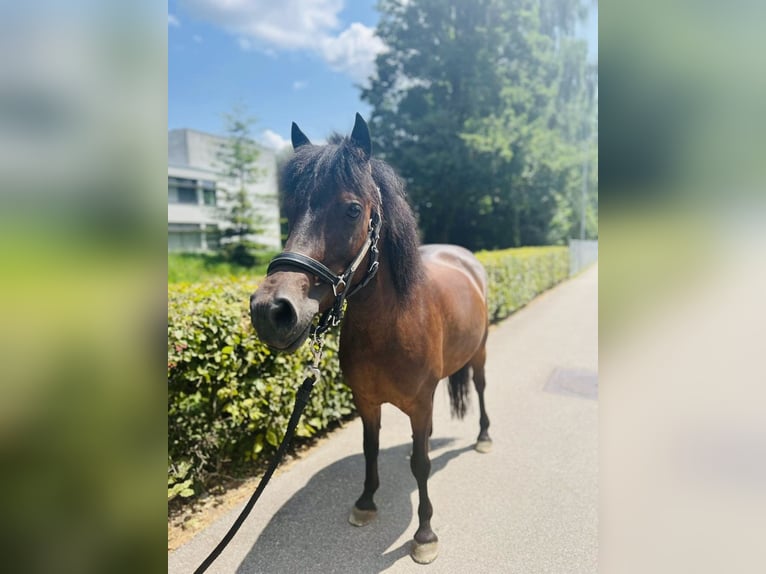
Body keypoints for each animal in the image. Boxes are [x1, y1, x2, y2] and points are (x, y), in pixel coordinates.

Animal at [252, 113, 492, 568]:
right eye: (289, 212)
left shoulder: (418, 402)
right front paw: (366, 503)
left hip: (481, 352)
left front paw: (425, 534)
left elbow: (420, 464)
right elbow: (370, 448)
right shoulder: (366, 401)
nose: (271, 310)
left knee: (481, 388)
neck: (390, 328)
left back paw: (484, 437)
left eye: (351, 209)